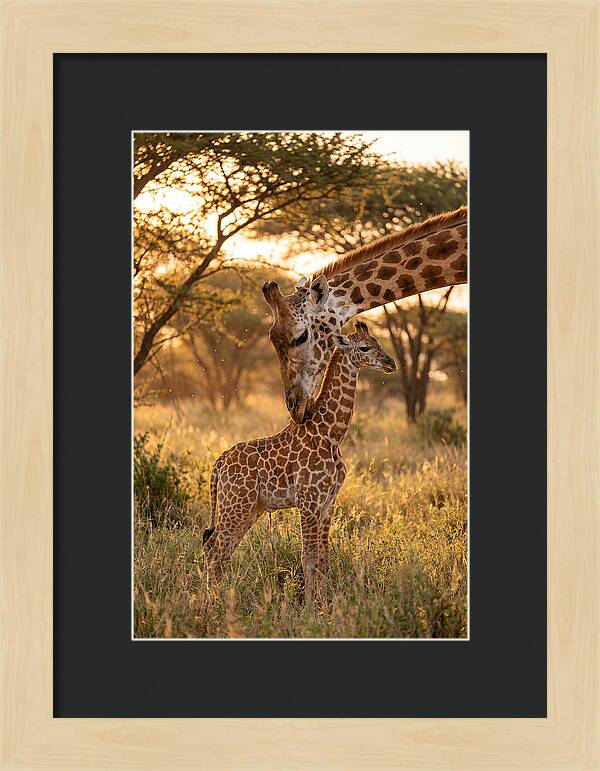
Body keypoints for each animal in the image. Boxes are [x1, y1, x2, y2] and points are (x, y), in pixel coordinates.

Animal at [202, 321, 396, 603]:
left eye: (378, 342)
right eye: (365, 347)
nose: (391, 363)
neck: (331, 434)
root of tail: (219, 464)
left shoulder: (328, 503)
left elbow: (323, 559)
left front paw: (324, 604)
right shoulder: (308, 500)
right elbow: (308, 558)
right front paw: (309, 607)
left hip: (250, 508)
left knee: (221, 549)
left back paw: (219, 598)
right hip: (235, 504)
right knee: (214, 549)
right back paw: (209, 603)